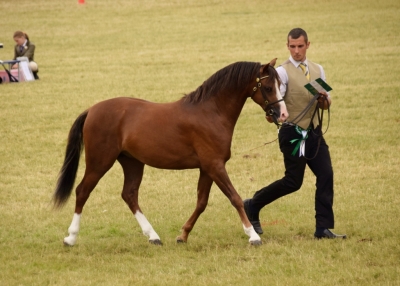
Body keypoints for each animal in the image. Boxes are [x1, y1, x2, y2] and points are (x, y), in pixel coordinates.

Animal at [53, 58, 288, 246]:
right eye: (268, 87)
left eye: (280, 84)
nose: (283, 114)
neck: (211, 111)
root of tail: (92, 110)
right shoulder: (215, 165)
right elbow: (235, 198)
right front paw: (253, 236)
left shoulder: (207, 168)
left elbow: (201, 202)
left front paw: (183, 235)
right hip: (100, 162)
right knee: (82, 191)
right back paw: (71, 238)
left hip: (132, 162)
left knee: (129, 195)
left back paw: (153, 236)